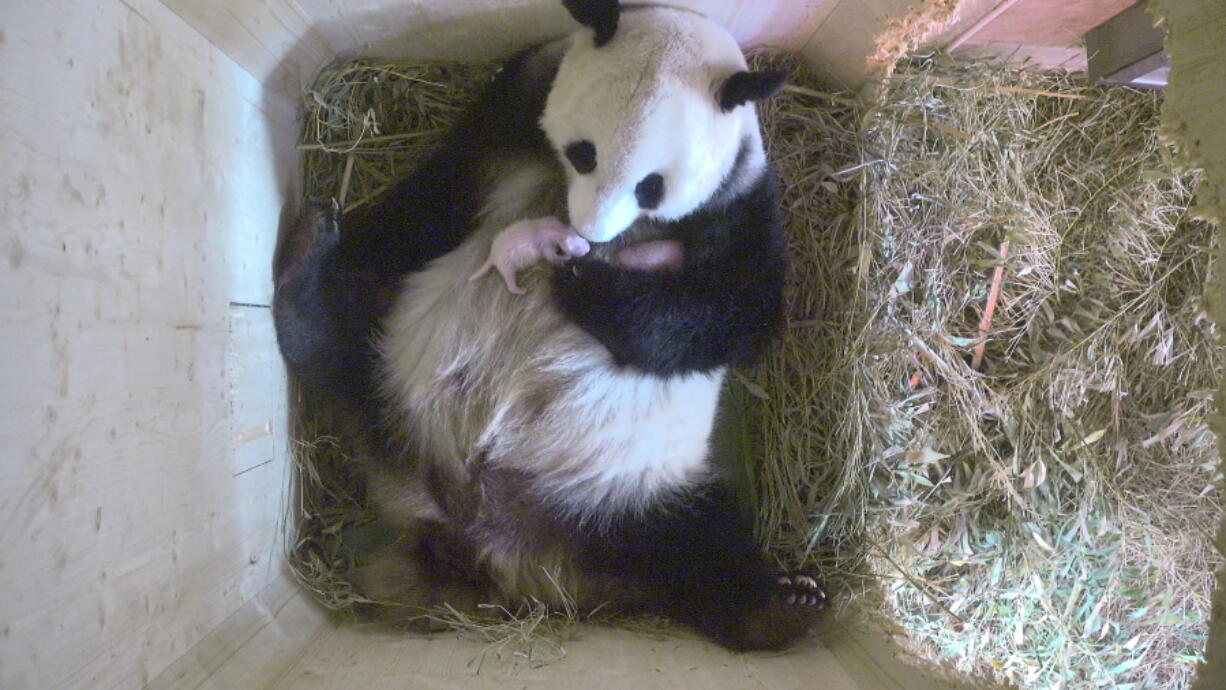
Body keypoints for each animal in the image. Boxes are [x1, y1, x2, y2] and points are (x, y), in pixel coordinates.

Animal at [274, 0, 828, 652]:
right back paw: (310, 257)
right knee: (341, 340)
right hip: (399, 370)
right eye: (585, 152)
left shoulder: (740, 201)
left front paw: (583, 284)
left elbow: (733, 310)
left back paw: (778, 604)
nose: (588, 234)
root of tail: (486, 540)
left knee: (698, 554)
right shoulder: (512, 110)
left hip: (627, 492)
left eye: (652, 186)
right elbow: (436, 195)